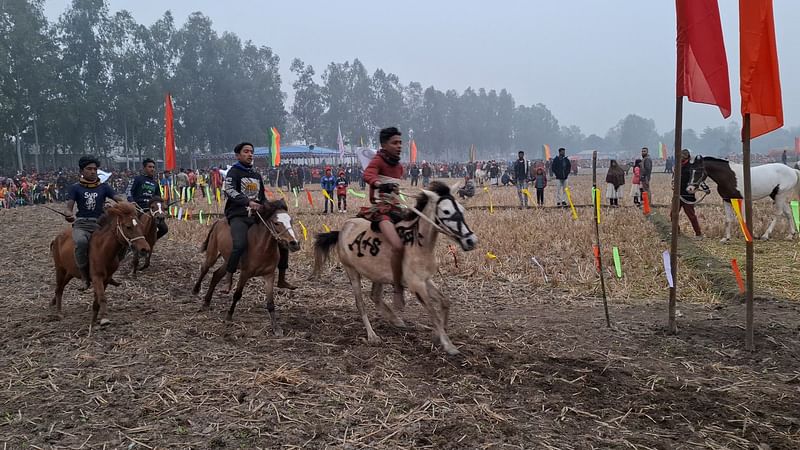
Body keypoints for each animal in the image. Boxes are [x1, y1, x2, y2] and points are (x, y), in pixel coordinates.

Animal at [192, 200, 302, 334]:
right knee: (205, 268)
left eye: (291, 221)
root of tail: (218, 221)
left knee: (216, 275)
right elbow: (237, 295)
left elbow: (270, 302)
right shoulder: (245, 274)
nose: (295, 243)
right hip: (212, 254)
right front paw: (228, 317)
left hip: (228, 260)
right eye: (276, 223)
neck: (261, 247)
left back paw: (206, 302)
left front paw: (276, 328)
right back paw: (196, 290)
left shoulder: (269, 275)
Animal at [310, 182, 476, 356]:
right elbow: (432, 312)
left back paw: (395, 319)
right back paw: (372, 336)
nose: (470, 240)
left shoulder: (424, 279)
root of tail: (342, 230)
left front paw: (438, 337)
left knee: (375, 296)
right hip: (352, 271)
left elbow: (445, 302)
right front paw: (449, 345)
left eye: (461, 209)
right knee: (360, 303)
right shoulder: (416, 285)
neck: (417, 243)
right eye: (445, 211)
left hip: (377, 275)